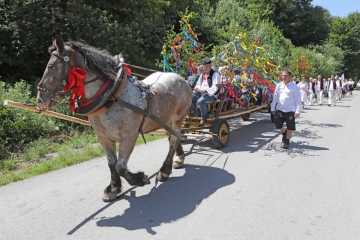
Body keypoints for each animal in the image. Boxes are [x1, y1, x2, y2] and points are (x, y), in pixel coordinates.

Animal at [36, 36, 193, 202]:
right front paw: (113, 188)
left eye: (51, 67)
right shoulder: (103, 137)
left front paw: (139, 179)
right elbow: (112, 163)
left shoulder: (129, 136)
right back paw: (179, 159)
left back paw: (165, 170)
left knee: (173, 140)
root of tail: (181, 78)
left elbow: (121, 167)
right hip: (165, 119)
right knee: (173, 137)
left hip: (178, 118)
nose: (40, 99)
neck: (111, 98)